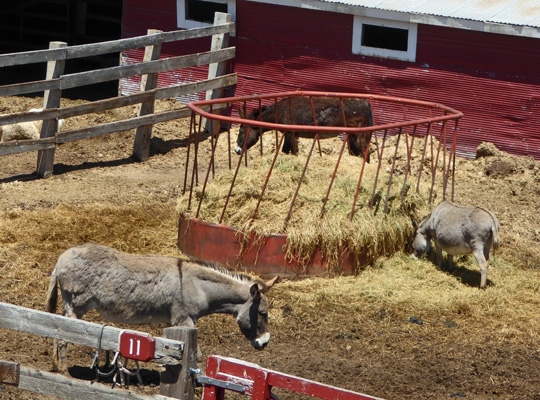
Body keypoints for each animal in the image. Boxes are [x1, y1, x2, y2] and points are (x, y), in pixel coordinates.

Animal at [234, 97, 374, 161]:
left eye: (241, 131)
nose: (236, 150)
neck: (281, 111)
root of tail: (366, 103)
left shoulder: (292, 135)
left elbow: (294, 152)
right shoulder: (288, 134)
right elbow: (285, 151)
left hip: (361, 135)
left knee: (365, 153)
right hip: (353, 135)